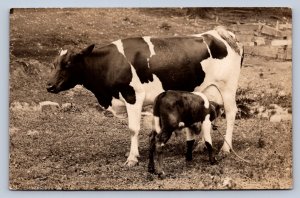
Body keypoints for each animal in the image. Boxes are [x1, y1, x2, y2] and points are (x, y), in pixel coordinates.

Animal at [46, 25, 244, 166]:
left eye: (68, 64)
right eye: (54, 64)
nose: (49, 85)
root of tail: (221, 33)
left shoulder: (133, 96)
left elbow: (133, 128)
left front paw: (132, 158)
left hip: (227, 87)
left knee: (231, 113)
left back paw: (225, 148)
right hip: (206, 90)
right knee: (208, 114)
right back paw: (202, 145)